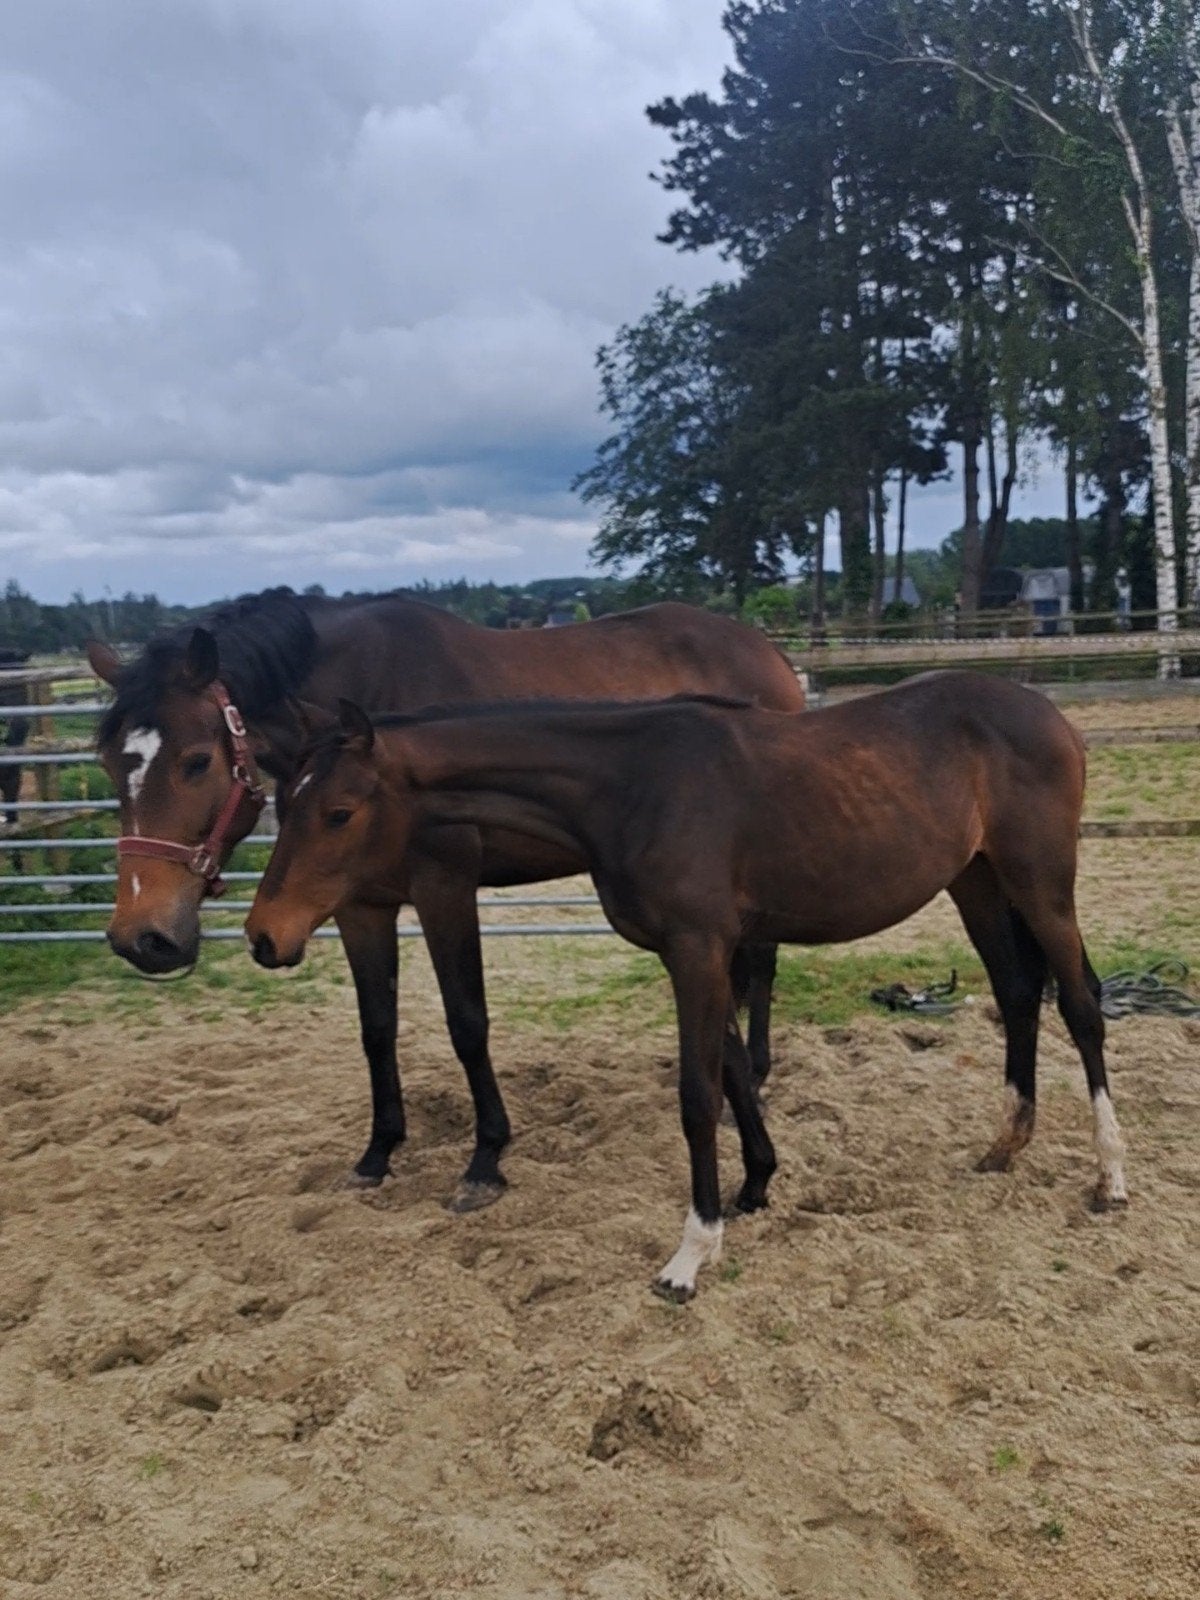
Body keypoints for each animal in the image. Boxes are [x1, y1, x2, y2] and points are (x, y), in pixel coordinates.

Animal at [88, 588, 804, 1207]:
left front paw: (485, 1159)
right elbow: (377, 1027)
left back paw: (757, 1076)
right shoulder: (358, 905)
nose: (142, 937)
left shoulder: (445, 887)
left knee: (763, 964)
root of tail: (765, 650)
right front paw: (378, 1152)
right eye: (108, 763)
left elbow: (467, 1021)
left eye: (198, 760)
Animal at [244, 673, 1127, 1301]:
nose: (263, 935)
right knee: (1017, 992)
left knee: (1082, 1006)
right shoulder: (705, 951)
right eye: (283, 800)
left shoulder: (697, 950)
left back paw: (1110, 1180)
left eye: (340, 811)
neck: (631, 784)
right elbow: (733, 1067)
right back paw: (1004, 1144)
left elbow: (699, 1095)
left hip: (1041, 883)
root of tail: (1051, 716)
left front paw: (690, 1253)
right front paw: (754, 1187)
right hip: (975, 880)